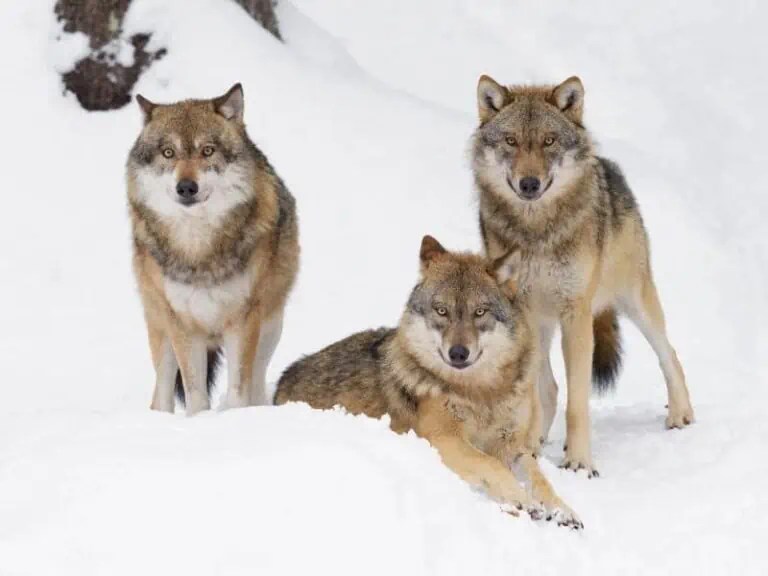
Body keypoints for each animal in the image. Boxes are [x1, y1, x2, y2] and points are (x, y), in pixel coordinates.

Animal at [127, 83, 299, 415]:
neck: (199, 251)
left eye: (207, 150)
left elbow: (238, 390)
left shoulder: (243, 320)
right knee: (160, 395)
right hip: (160, 326)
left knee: (256, 382)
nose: (186, 187)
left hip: (271, 326)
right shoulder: (182, 324)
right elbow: (196, 394)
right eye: (168, 152)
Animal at [275, 236, 581, 528]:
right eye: (441, 311)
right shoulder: (444, 439)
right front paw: (520, 500)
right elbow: (491, 464)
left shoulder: (513, 444)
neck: (482, 393)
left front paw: (562, 510)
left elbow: (539, 478)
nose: (458, 353)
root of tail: (282, 381)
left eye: (480, 312)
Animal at [472, 75, 694, 475]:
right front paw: (528, 448)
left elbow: (578, 401)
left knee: (668, 353)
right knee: (549, 389)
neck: (538, 233)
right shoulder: (523, 311)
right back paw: (535, 440)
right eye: (511, 140)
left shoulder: (576, 313)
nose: (529, 184)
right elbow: (538, 392)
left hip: (635, 301)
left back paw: (681, 414)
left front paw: (578, 462)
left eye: (549, 140)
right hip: (542, 324)